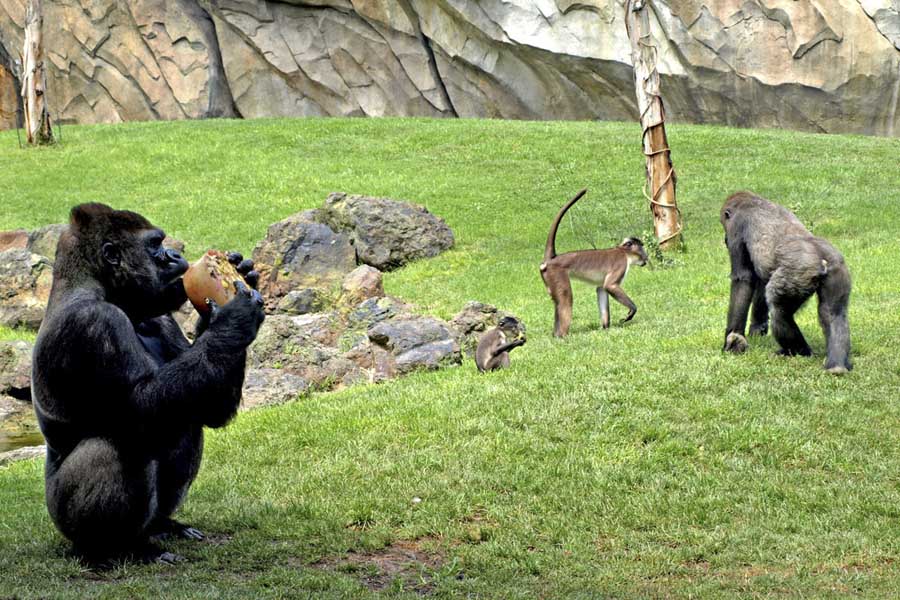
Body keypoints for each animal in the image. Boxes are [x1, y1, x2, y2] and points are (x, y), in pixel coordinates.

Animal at [31, 203, 264, 564]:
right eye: (155, 244)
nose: (174, 256)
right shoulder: (94, 323)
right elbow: (140, 409)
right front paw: (233, 318)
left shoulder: (162, 316)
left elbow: (207, 405)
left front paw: (235, 283)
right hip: (61, 518)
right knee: (119, 443)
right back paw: (116, 547)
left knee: (186, 419)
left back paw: (160, 526)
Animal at [720, 191, 856, 376]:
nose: (725, 240)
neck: (752, 201)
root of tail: (821, 255)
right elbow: (761, 281)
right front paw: (756, 329)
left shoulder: (736, 226)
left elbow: (743, 279)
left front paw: (732, 339)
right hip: (838, 269)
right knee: (833, 312)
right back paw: (837, 365)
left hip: (797, 274)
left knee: (779, 310)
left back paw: (799, 352)